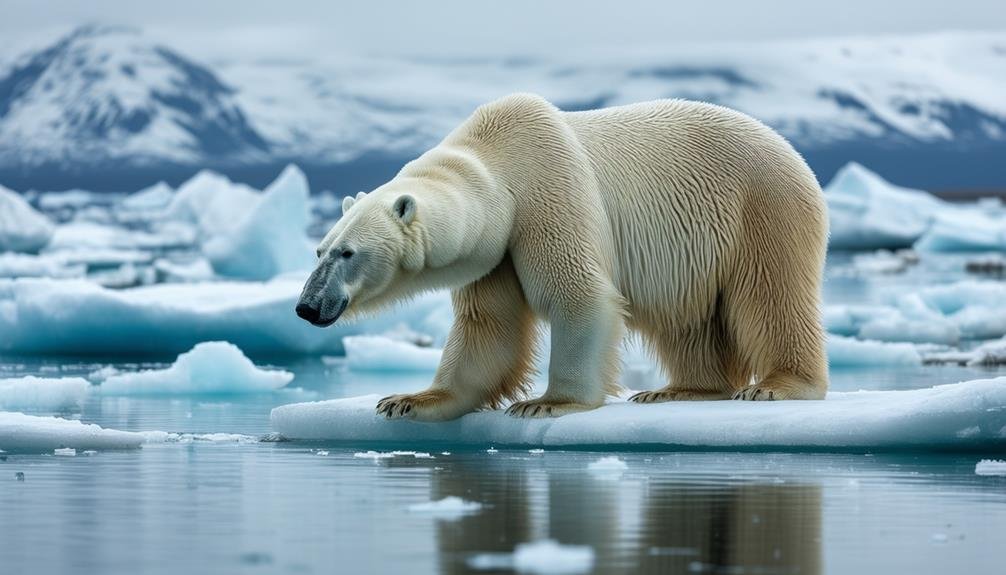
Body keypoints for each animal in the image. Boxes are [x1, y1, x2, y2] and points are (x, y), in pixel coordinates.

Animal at [295, 91, 824, 420]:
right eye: (319, 249)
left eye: (347, 252)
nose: (306, 306)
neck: (497, 162)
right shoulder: (496, 249)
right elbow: (489, 324)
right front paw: (408, 400)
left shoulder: (548, 194)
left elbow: (578, 295)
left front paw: (546, 403)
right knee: (685, 319)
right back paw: (678, 389)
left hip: (760, 208)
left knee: (769, 296)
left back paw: (776, 384)